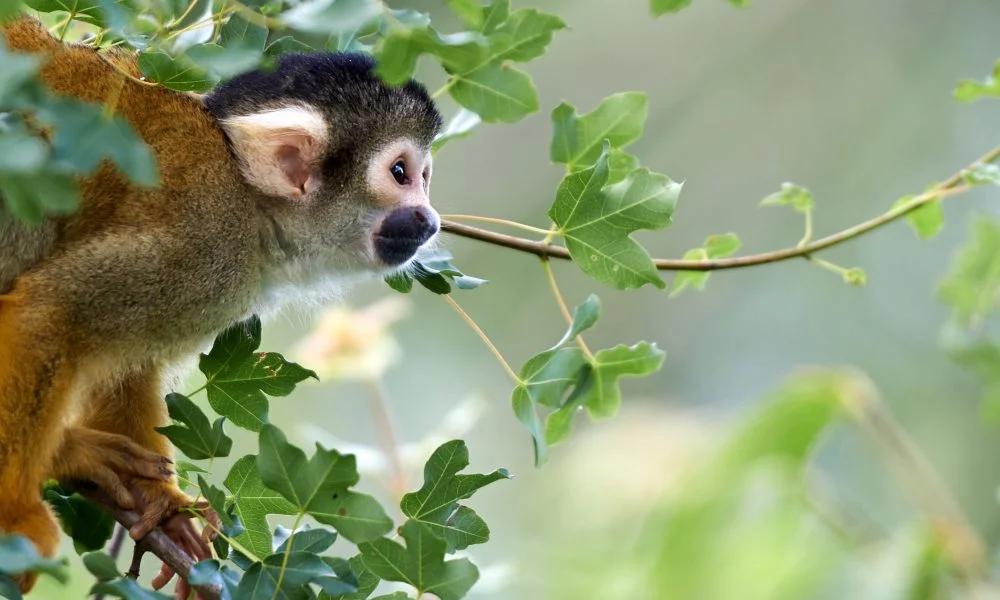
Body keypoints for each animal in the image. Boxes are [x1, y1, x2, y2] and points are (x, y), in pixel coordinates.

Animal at [0, 14, 443, 596]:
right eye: (400, 173)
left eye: (424, 177)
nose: (430, 219)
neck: (247, 198)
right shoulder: (204, 247)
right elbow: (50, 313)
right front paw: (15, 519)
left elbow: (128, 362)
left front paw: (163, 508)